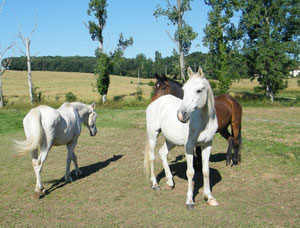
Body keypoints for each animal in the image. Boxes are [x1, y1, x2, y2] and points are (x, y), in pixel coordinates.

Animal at [144, 67, 219, 209]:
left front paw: (210, 197)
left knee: (162, 153)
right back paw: (155, 184)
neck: (203, 121)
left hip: (171, 141)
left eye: (199, 90)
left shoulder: (207, 145)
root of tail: (154, 103)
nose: (181, 115)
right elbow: (190, 172)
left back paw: (169, 182)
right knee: (152, 157)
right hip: (153, 135)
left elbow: (206, 171)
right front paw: (190, 201)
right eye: (184, 90)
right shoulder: (189, 146)